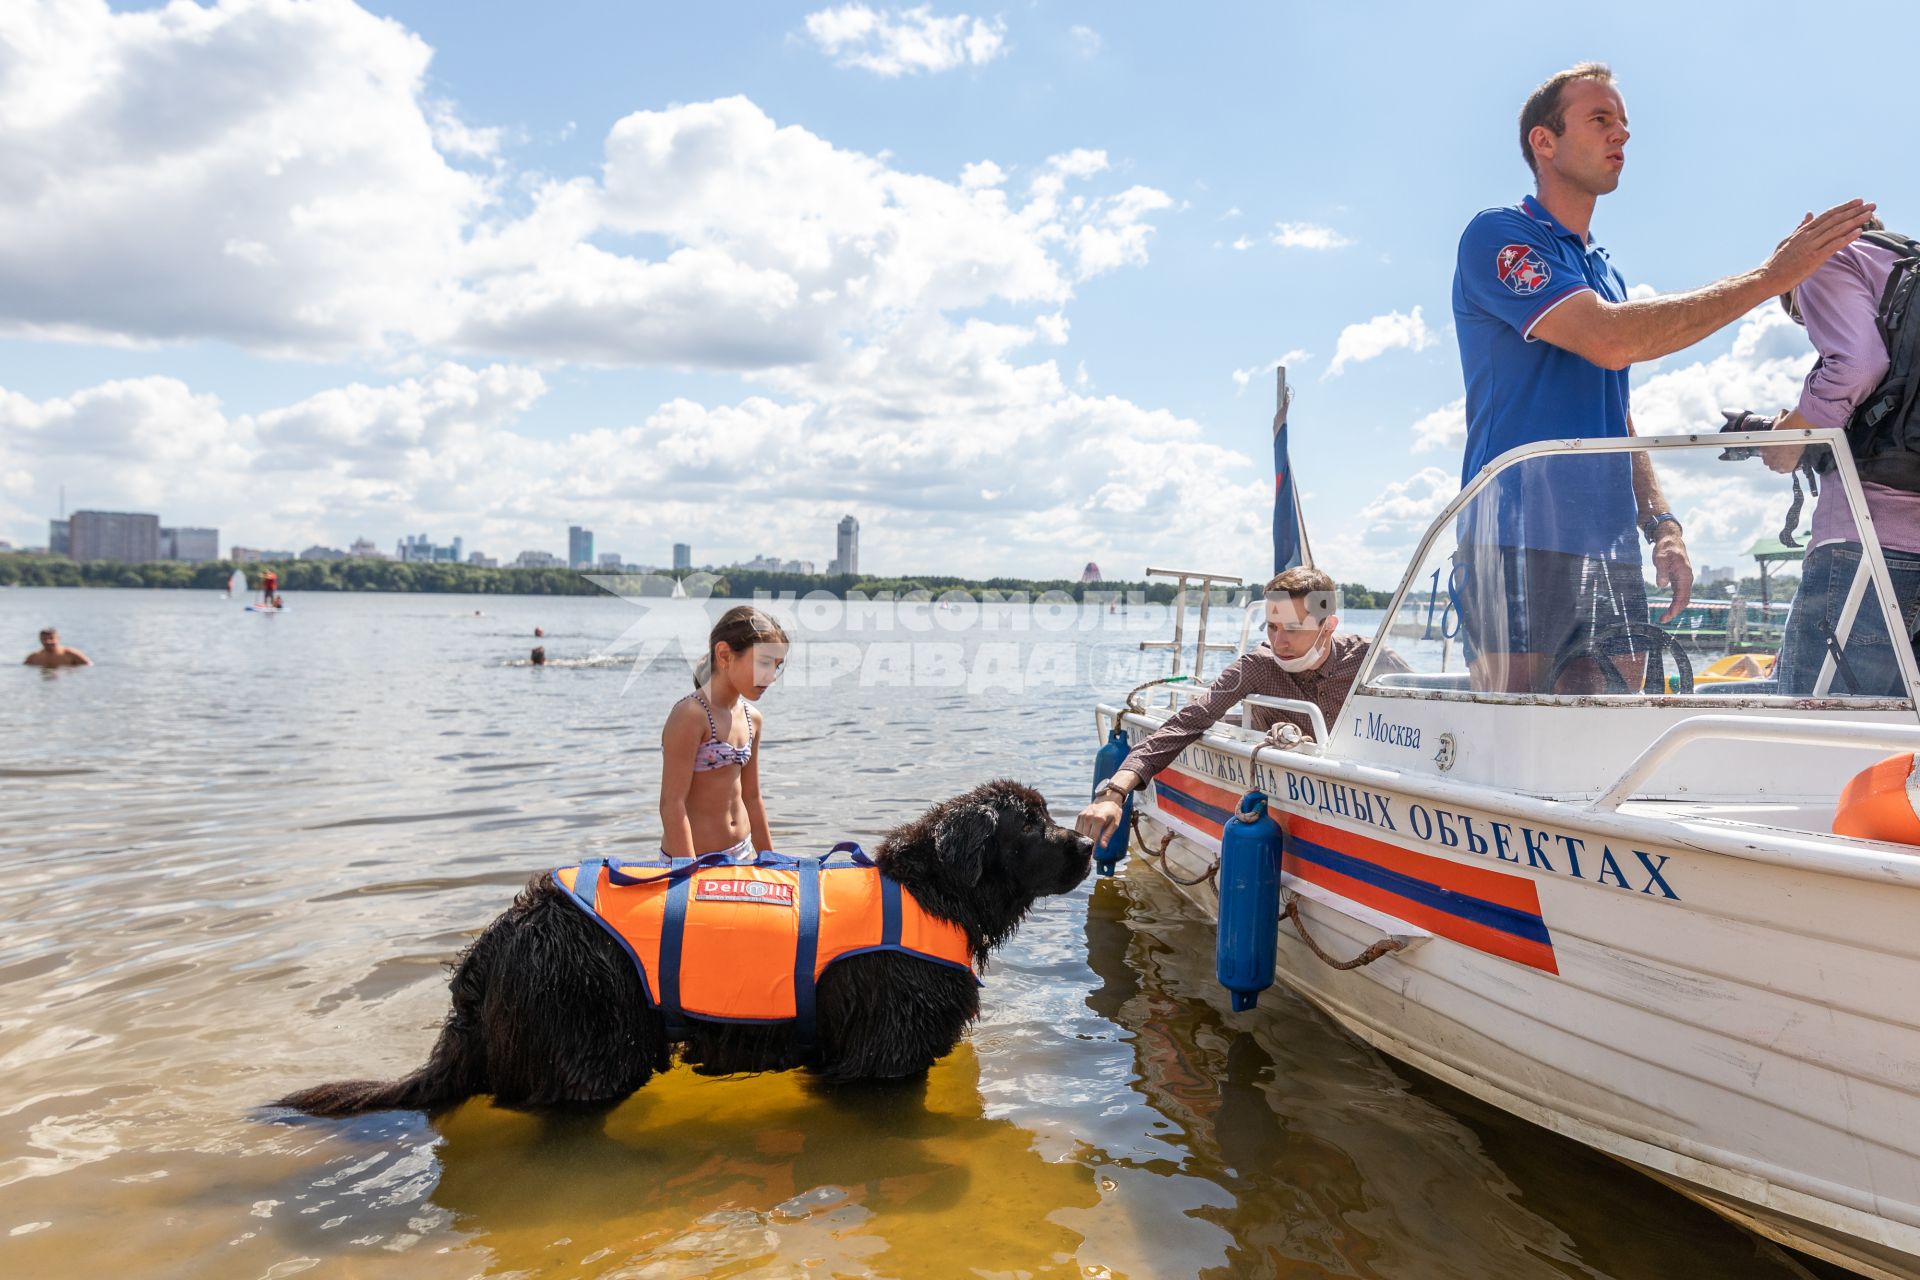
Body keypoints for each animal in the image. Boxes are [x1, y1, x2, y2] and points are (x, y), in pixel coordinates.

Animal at [276, 775, 1090, 1113]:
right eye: (1030, 823)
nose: (1088, 842)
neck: (932, 892)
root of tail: (492, 947)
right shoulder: (879, 1057)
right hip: (592, 1044)